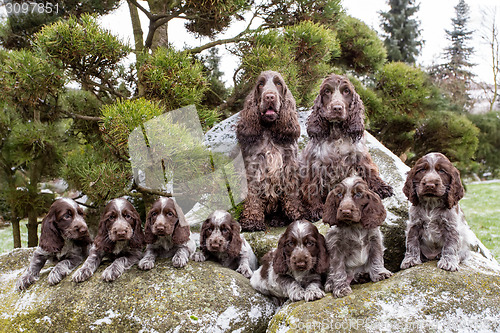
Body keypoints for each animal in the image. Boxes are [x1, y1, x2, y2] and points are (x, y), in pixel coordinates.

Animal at [237, 70, 302, 231]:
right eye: (260, 84)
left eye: (278, 83)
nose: (270, 96)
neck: (269, 131)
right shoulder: (253, 166)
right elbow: (253, 195)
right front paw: (252, 220)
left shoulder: (289, 165)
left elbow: (291, 194)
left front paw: (298, 214)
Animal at [298, 73, 392, 219]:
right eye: (327, 91)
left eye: (346, 91)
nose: (337, 108)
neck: (337, 135)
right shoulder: (315, 165)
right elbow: (313, 187)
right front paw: (316, 208)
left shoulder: (359, 154)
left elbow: (369, 170)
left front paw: (382, 188)